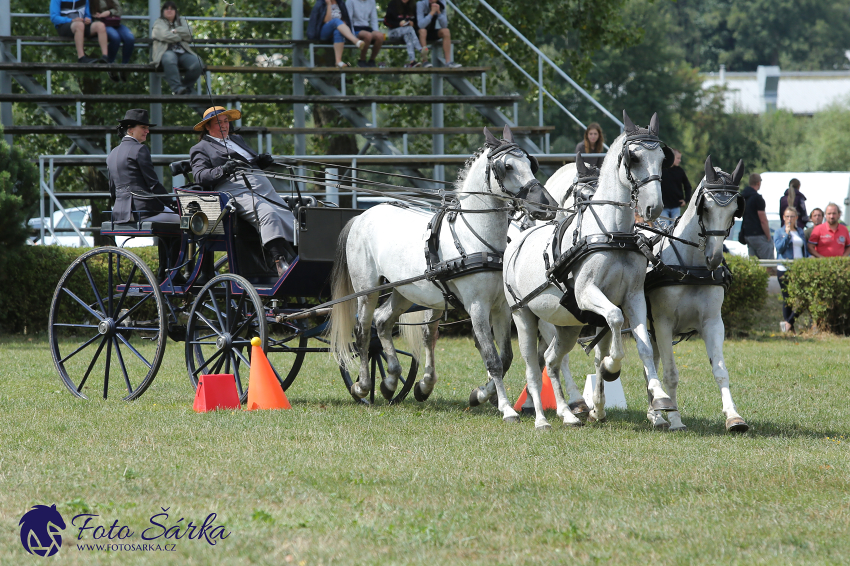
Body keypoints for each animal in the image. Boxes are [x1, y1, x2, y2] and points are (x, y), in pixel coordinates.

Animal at [329, 125, 557, 421]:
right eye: (507, 166)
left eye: (531, 163)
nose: (547, 205)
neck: (479, 239)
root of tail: (363, 215)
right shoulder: (477, 307)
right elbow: (492, 359)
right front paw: (506, 408)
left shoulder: (502, 308)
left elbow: (505, 357)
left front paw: (480, 395)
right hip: (366, 290)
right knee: (363, 332)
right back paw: (363, 386)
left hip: (405, 290)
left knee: (382, 321)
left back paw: (392, 381)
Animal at [489, 111, 675, 430]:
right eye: (634, 158)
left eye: (663, 158)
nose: (654, 207)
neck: (612, 233)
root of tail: (519, 240)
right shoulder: (588, 293)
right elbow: (614, 320)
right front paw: (611, 367)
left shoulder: (634, 297)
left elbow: (645, 347)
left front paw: (659, 398)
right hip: (523, 316)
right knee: (532, 368)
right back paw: (540, 419)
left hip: (567, 325)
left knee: (551, 360)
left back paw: (566, 412)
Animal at [643, 156, 748, 432]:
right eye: (706, 208)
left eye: (735, 210)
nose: (714, 258)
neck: (691, 269)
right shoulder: (664, 323)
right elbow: (671, 374)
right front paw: (676, 419)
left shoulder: (712, 322)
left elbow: (721, 371)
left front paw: (734, 417)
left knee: (651, 364)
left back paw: (655, 414)